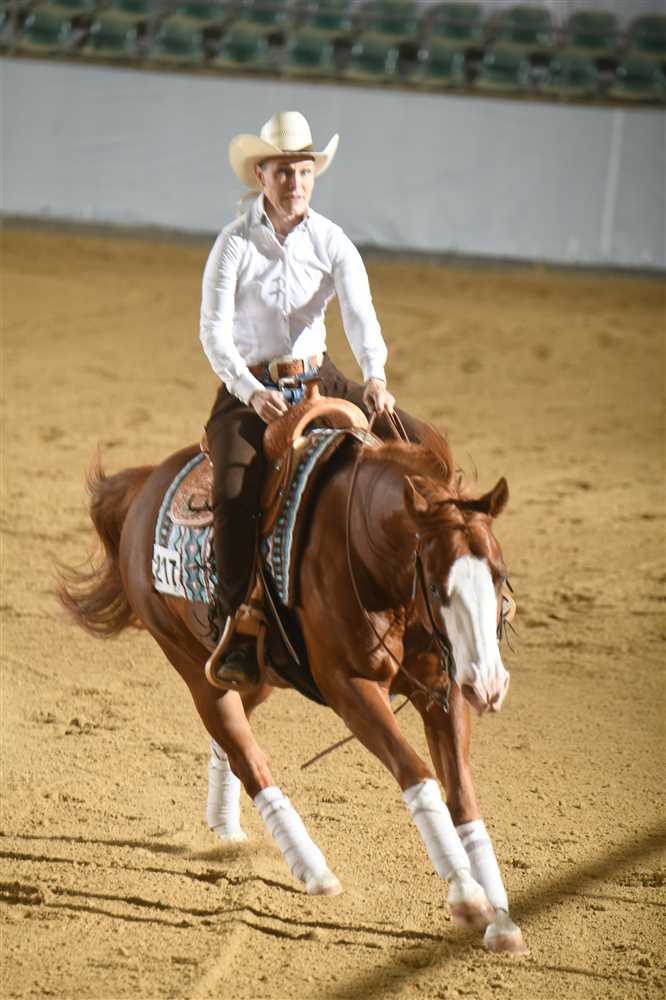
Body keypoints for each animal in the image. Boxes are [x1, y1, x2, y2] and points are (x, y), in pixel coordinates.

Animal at [58, 417, 528, 956]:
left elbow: (463, 796)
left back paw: (226, 825)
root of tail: (144, 487)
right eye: (435, 586)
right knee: (247, 756)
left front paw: (502, 921)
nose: (489, 685)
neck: (364, 551)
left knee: (230, 740)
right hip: (193, 667)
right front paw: (468, 896)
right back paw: (313, 869)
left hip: (254, 675)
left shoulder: (442, 689)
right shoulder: (351, 688)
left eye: (498, 576)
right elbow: (418, 774)